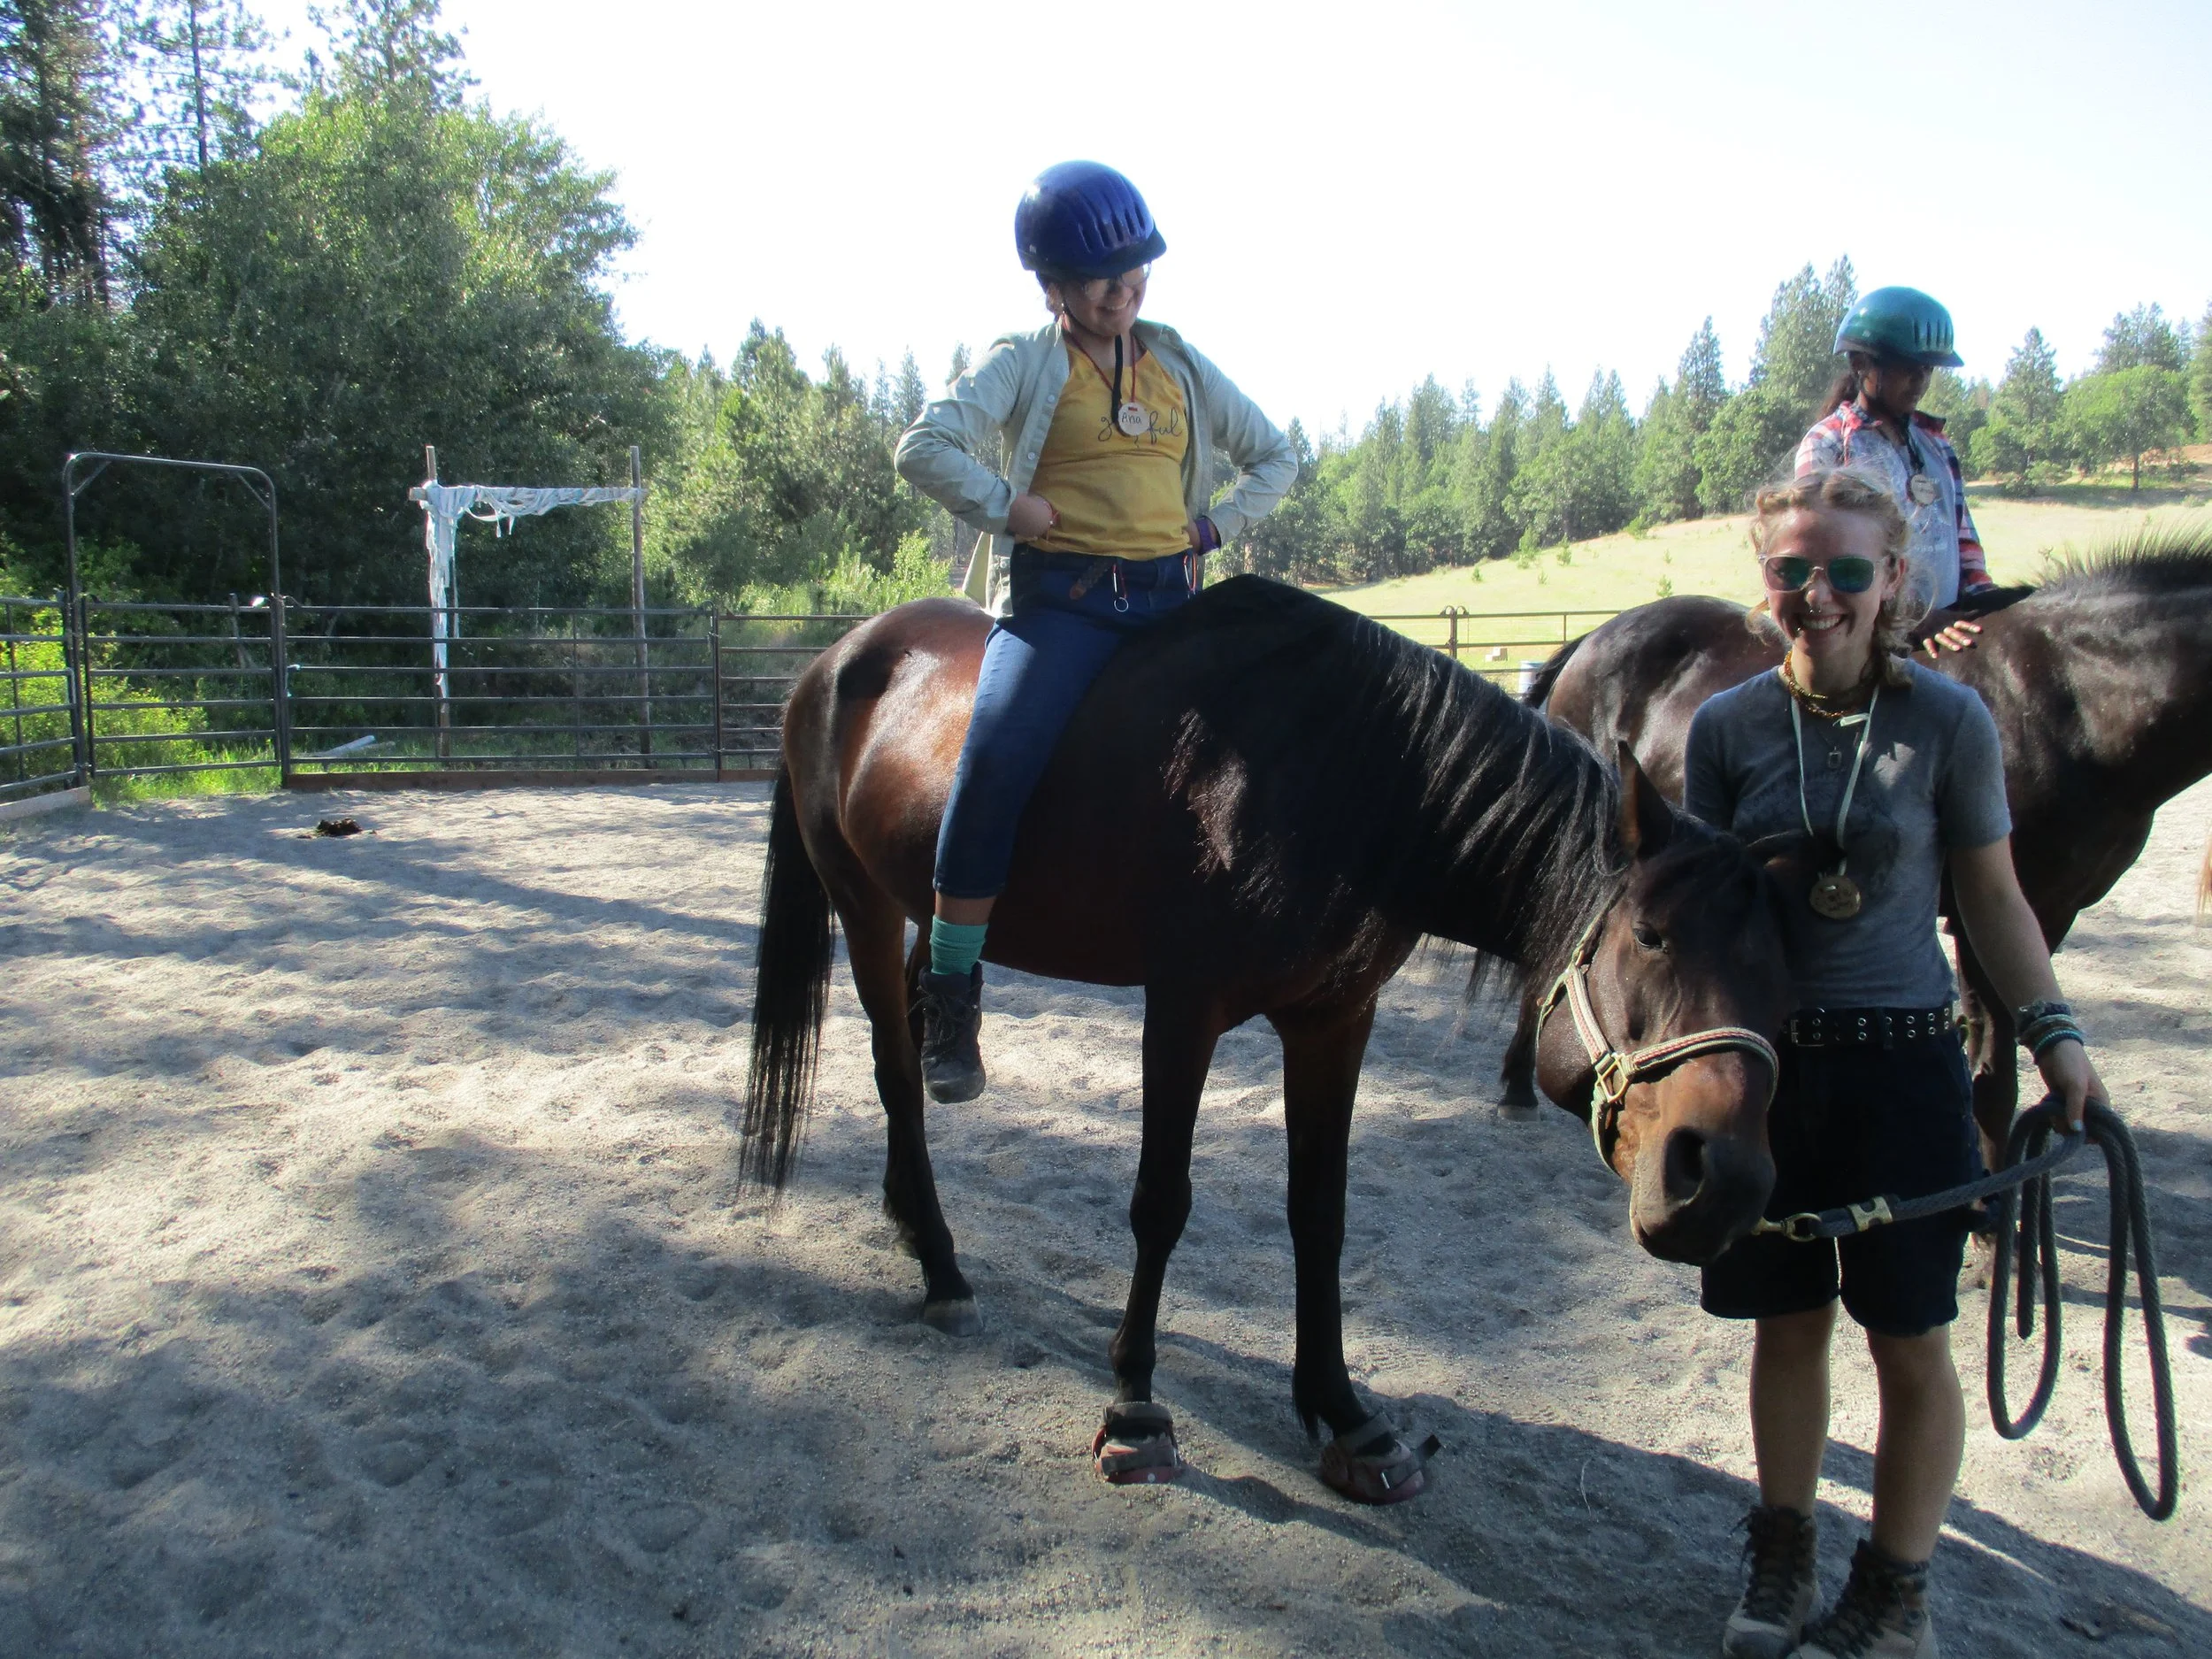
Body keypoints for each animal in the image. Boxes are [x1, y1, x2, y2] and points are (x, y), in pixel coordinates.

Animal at [742, 575, 1796, 1500]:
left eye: (1783, 970)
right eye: (1649, 936)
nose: (1725, 1182)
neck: (1348, 781)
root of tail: (838, 659)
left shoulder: (1335, 1019)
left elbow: (1319, 1213)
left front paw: (1346, 1411)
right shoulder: (1183, 1009)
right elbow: (1161, 1204)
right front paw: (1135, 1408)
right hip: (862, 904)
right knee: (894, 1075)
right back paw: (940, 1263)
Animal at [1499, 528, 2212, 1165]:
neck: (2067, 698)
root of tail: (1594, 639)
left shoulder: (2047, 911)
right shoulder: (1987, 915)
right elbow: (1993, 1077)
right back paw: (1515, 1088)